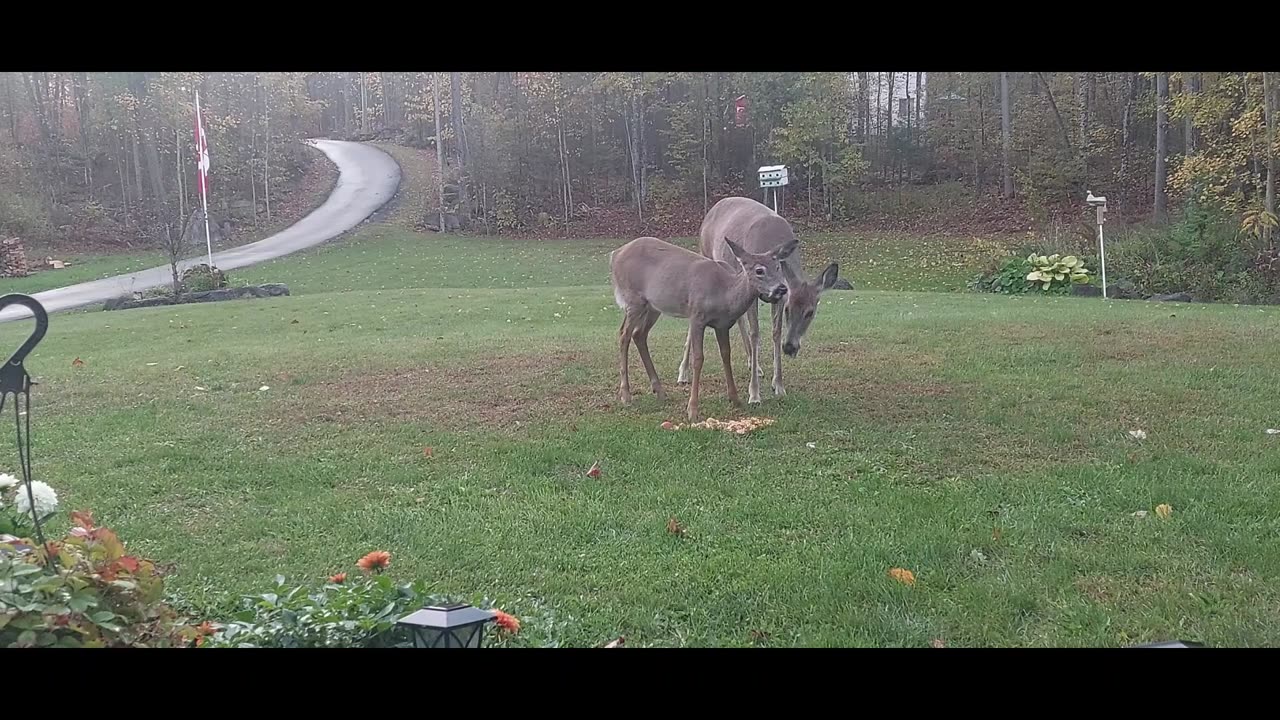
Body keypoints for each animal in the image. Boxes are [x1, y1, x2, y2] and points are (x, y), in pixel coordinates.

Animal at [606, 234, 788, 420]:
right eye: (759, 270)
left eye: (778, 267)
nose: (782, 288)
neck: (724, 293)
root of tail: (615, 254)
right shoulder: (696, 316)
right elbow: (698, 359)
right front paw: (692, 410)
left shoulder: (722, 325)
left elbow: (726, 355)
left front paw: (735, 399)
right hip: (633, 299)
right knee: (624, 334)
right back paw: (626, 395)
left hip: (653, 306)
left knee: (639, 334)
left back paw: (660, 391)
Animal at [675, 193, 844, 399]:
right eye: (789, 310)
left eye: (810, 312)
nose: (790, 347)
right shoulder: (755, 291)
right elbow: (755, 332)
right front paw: (754, 393)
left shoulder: (779, 296)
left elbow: (776, 332)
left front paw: (778, 384)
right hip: (705, 253)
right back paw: (683, 372)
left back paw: (753, 364)